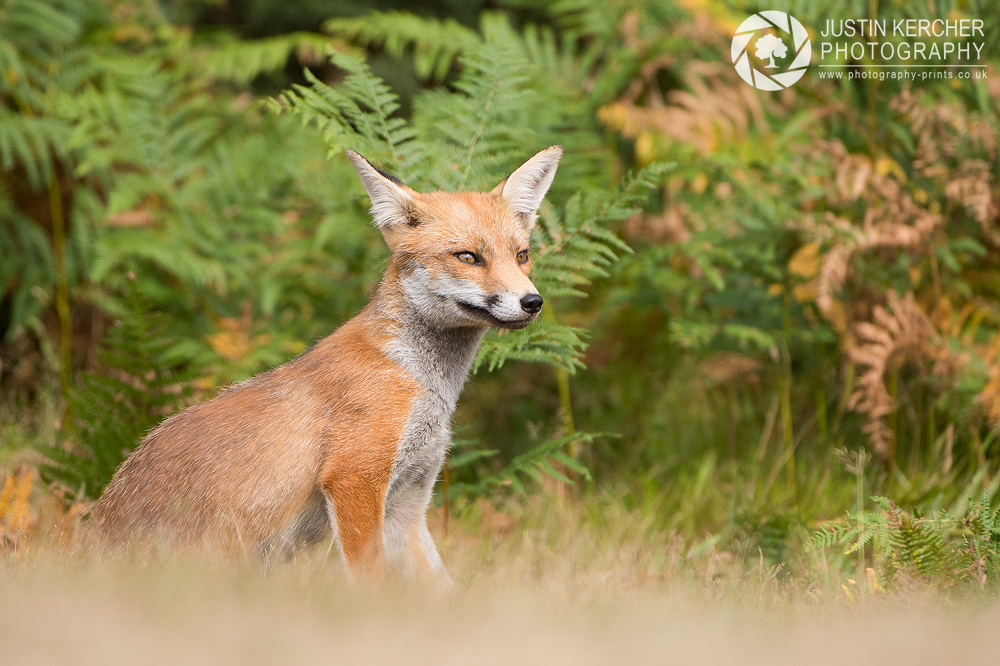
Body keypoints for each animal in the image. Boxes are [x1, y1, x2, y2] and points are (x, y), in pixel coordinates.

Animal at [86, 144, 564, 576]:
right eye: (468, 256)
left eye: (521, 255)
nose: (533, 302)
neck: (420, 379)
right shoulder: (354, 478)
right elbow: (369, 583)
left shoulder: (407, 504)